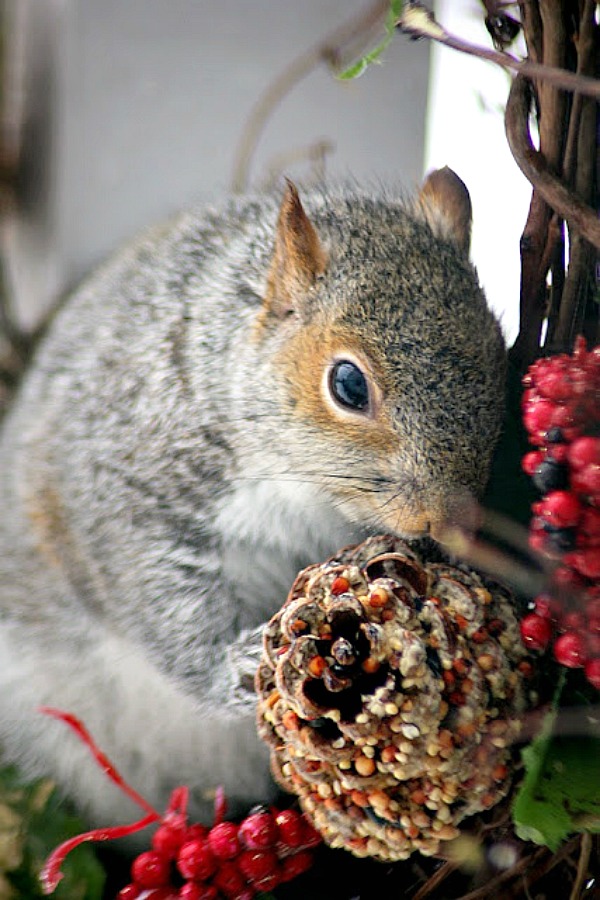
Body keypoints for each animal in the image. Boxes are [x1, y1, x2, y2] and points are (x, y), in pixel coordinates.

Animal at [0, 167, 506, 828]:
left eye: (499, 350)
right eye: (348, 384)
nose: (448, 522)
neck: (305, 488)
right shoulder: (129, 488)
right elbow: (156, 601)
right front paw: (232, 670)